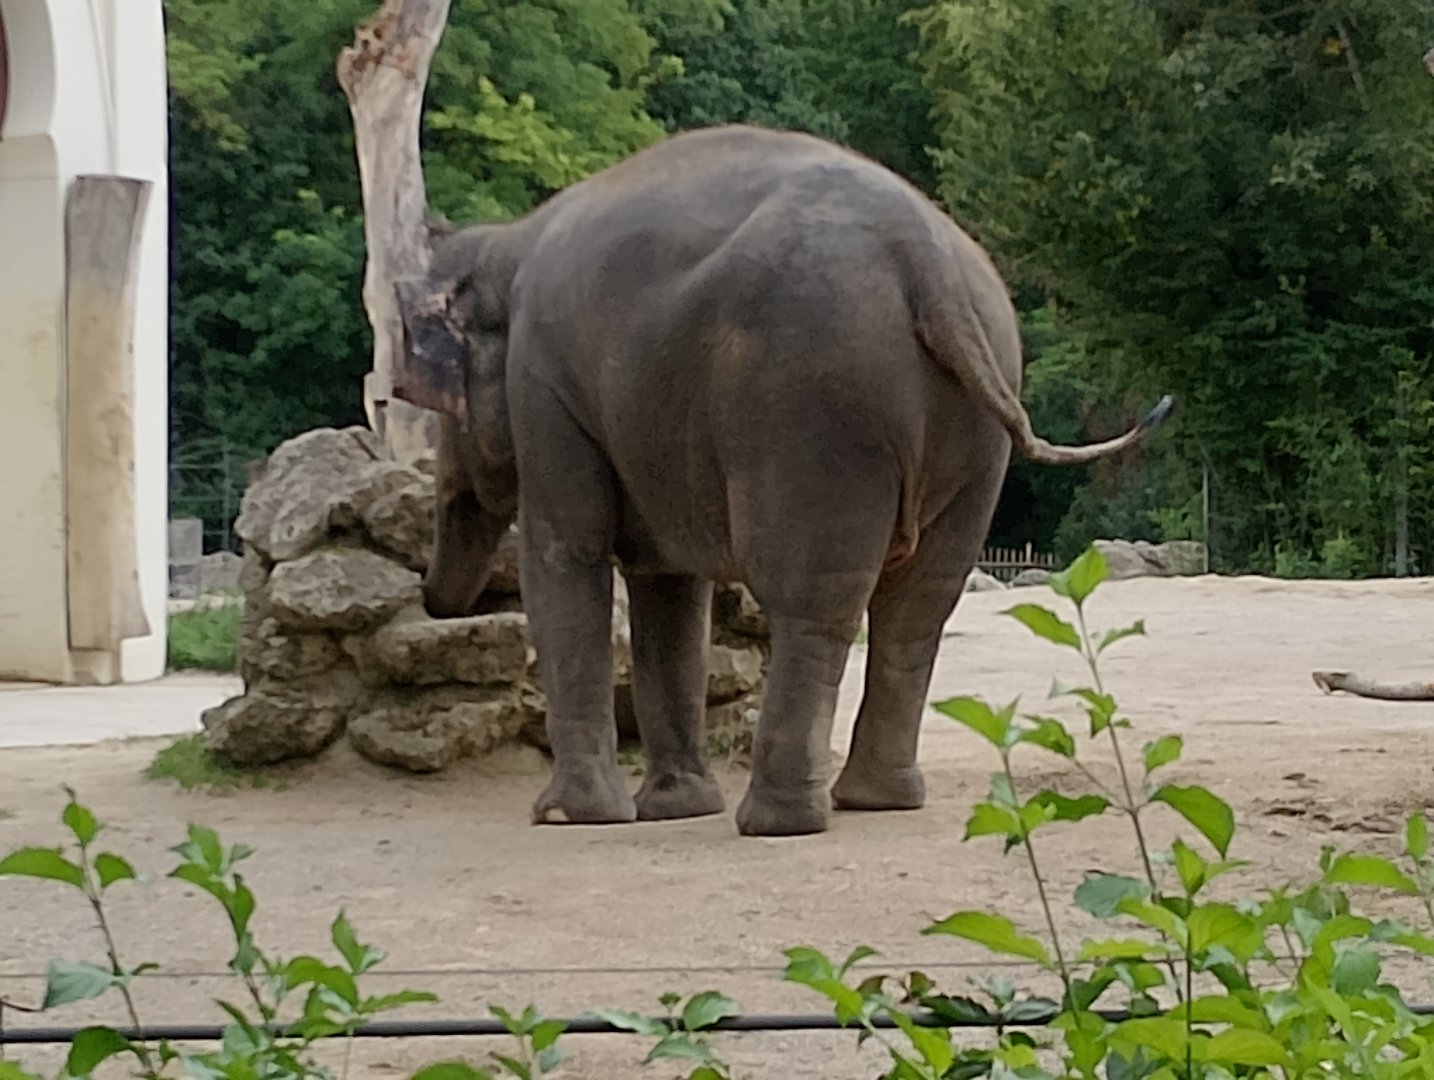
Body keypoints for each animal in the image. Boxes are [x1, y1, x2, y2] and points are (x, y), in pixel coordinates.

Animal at [397, 124, 1172, 837]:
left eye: (435, 413)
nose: (429, 601)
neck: (507, 244)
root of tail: (925, 258)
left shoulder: (547, 389)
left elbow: (568, 553)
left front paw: (567, 817)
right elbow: (668, 586)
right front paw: (676, 810)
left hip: (811, 404)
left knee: (810, 598)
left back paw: (777, 821)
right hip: (976, 427)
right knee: (918, 605)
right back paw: (876, 802)